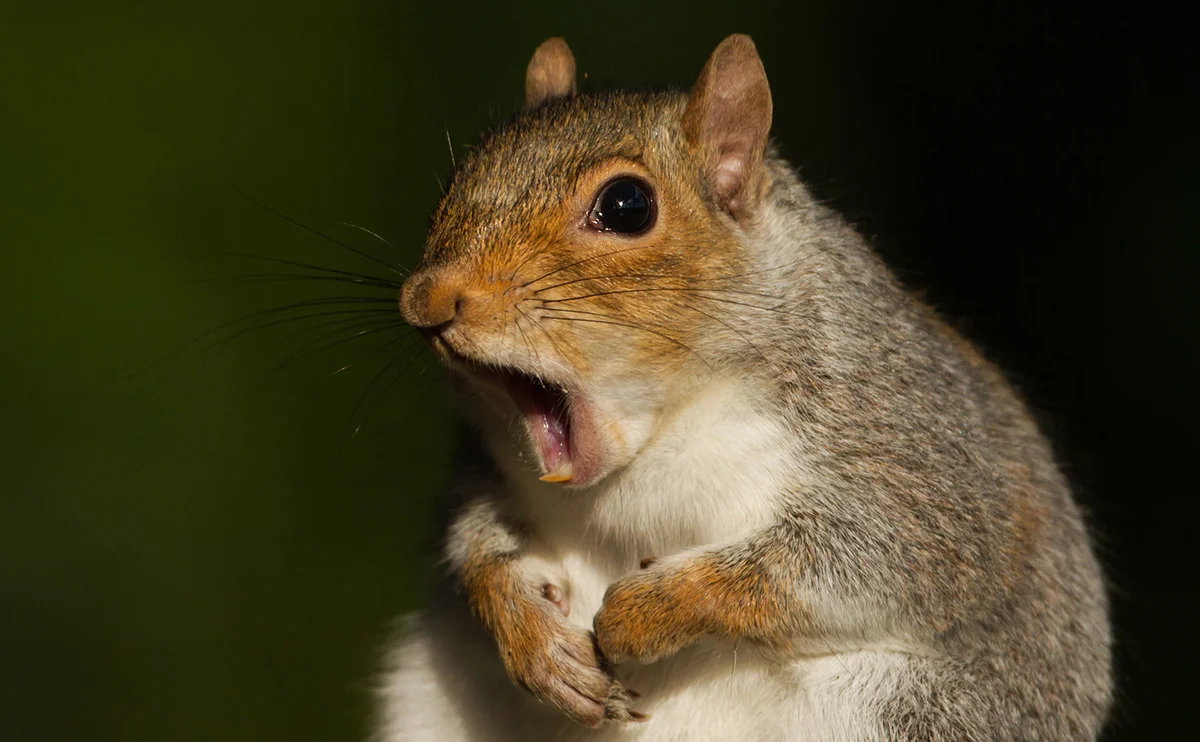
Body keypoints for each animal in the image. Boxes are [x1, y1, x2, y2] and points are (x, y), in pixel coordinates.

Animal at [376, 35, 1113, 741]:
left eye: (627, 205)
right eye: (461, 174)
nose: (427, 299)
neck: (658, 436)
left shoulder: (910, 453)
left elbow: (861, 562)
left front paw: (646, 611)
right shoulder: (485, 466)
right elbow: (475, 539)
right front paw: (532, 636)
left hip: (906, 712)